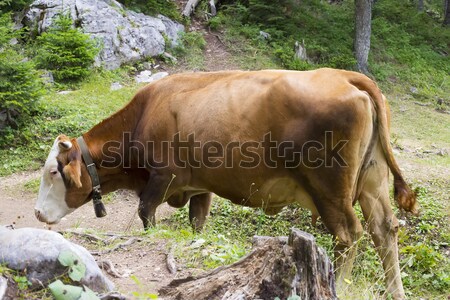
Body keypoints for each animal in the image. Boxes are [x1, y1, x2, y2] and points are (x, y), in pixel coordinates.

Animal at [36, 68, 418, 298]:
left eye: (53, 172)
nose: (38, 214)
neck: (145, 115)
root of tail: (346, 75)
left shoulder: (162, 178)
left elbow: (146, 215)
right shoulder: (200, 187)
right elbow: (197, 222)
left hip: (329, 188)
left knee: (348, 235)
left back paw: (341, 285)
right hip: (372, 182)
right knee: (384, 229)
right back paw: (395, 291)